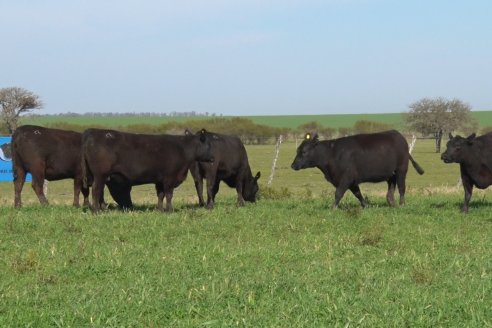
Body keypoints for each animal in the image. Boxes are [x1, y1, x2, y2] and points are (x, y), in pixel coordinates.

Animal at [81, 128, 214, 213]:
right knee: (96, 190)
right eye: (208, 145)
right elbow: (169, 195)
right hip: (100, 175)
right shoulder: (169, 178)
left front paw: (160, 210)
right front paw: (170, 210)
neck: (183, 149)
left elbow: (160, 195)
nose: (213, 158)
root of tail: (93, 131)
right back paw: (96, 210)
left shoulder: (160, 180)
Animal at [290, 130, 424, 209]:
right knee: (391, 188)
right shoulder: (352, 181)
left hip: (401, 170)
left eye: (304, 151)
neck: (332, 153)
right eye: (297, 150)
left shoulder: (346, 178)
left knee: (402, 188)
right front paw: (366, 206)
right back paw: (391, 203)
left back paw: (402, 204)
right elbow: (358, 194)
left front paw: (332, 208)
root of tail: (398, 134)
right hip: (391, 174)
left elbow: (338, 193)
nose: (293, 165)